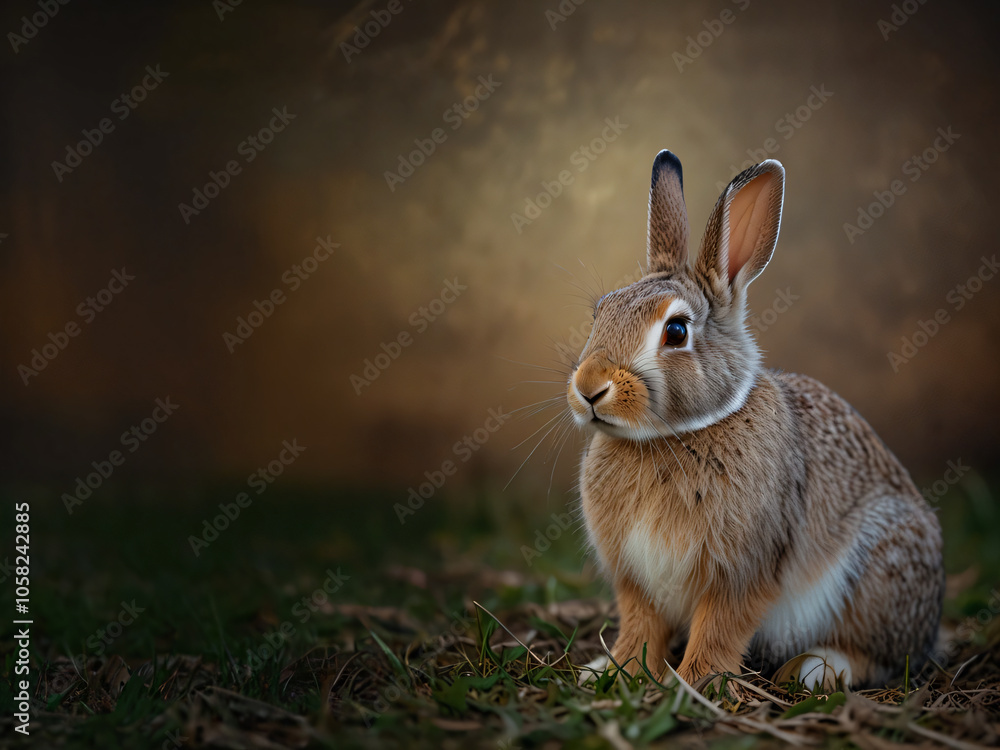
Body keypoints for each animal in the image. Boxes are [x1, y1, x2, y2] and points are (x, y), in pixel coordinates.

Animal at [567, 150, 943, 691]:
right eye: (600, 312)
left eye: (676, 331)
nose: (588, 389)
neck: (671, 436)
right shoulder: (636, 579)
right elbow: (640, 627)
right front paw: (616, 671)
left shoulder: (744, 571)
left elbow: (719, 629)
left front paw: (694, 683)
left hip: (878, 576)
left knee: (878, 656)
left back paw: (814, 668)